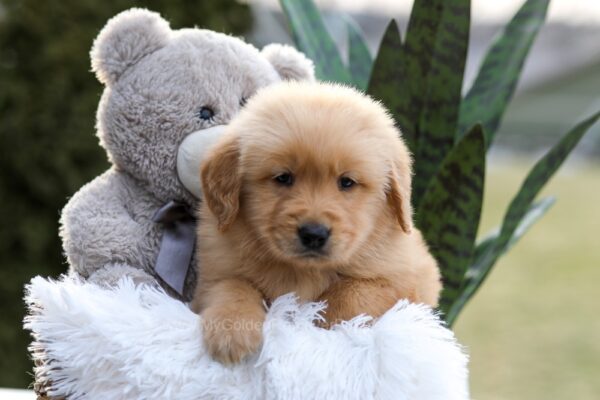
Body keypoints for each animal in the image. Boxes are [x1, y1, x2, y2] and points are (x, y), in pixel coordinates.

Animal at [192, 80, 440, 362]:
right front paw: (232, 330)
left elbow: (351, 293)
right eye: (283, 178)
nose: (313, 234)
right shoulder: (213, 272)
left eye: (347, 182)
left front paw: (315, 323)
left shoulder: (404, 283)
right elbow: (231, 285)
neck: (303, 270)